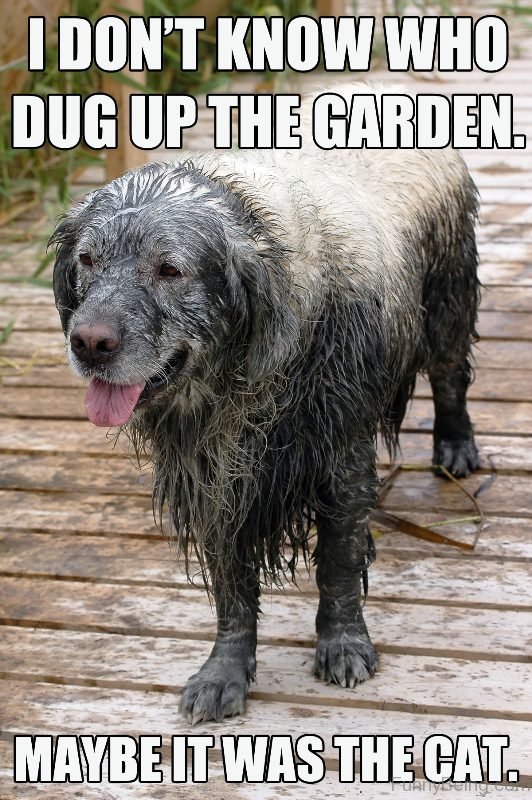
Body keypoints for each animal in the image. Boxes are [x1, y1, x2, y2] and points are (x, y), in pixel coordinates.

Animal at [52, 86, 480, 724]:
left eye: (170, 269)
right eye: (87, 260)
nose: (89, 342)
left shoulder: (340, 456)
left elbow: (338, 561)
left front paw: (343, 644)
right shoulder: (215, 477)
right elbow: (232, 586)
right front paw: (224, 672)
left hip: (449, 297)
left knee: (452, 377)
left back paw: (455, 446)